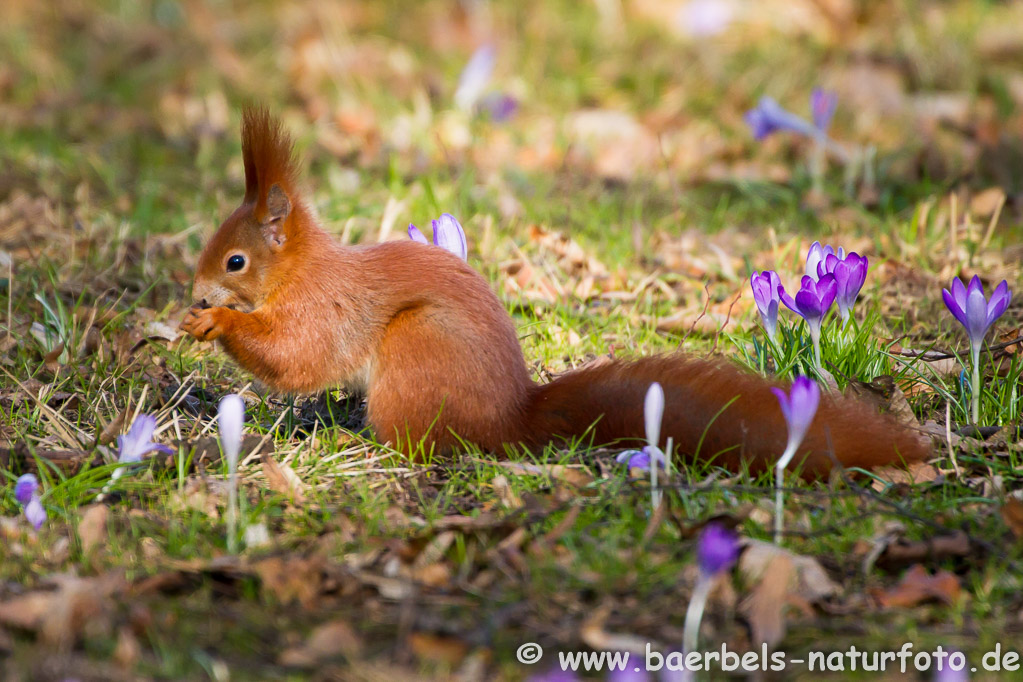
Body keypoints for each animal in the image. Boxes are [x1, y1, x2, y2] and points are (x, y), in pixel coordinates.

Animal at [180, 109, 932, 478]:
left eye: (236, 260)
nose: (195, 293)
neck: (301, 270)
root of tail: (512, 422)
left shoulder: (326, 308)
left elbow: (299, 357)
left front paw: (215, 325)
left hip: (416, 350)